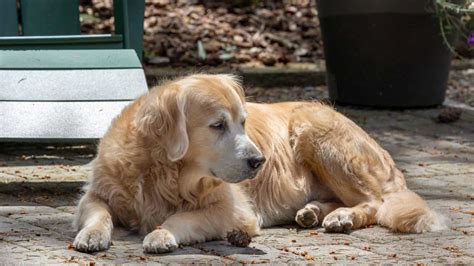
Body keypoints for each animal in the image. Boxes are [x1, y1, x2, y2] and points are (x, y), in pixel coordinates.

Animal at [73, 74, 444, 252]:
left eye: (244, 123)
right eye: (218, 125)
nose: (259, 161)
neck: (163, 170)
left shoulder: (232, 208)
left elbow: (182, 217)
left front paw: (162, 233)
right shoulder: (96, 193)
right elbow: (98, 212)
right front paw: (92, 235)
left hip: (316, 129)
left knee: (374, 202)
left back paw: (342, 217)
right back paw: (313, 212)